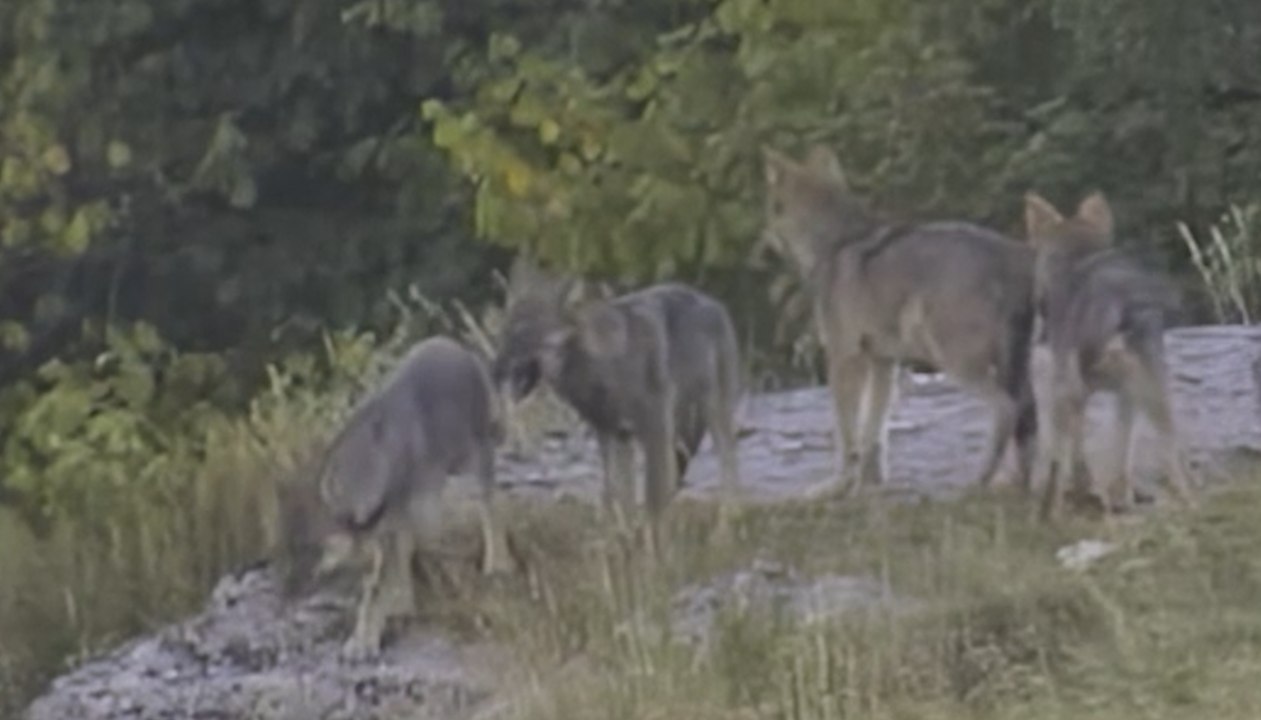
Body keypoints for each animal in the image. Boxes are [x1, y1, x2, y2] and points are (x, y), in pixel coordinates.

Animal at [309, 335, 513, 661]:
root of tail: (455, 346)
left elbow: (378, 586)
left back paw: (498, 564)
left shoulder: (394, 521)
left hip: (474, 455)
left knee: (491, 502)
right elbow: (391, 570)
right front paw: (397, 610)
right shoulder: (392, 525)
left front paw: (365, 641)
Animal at [493, 257, 744, 556]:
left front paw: (653, 554)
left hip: (712, 413)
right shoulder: (613, 434)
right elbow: (617, 495)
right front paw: (624, 542)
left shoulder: (653, 428)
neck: (605, 366)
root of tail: (713, 302)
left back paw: (724, 533)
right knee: (675, 477)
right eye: (504, 332)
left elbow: (650, 497)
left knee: (728, 468)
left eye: (523, 333)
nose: (494, 369)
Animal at [760, 145, 1038, 496]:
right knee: (1028, 420)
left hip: (955, 362)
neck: (835, 244)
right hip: (1010, 369)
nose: (761, 252)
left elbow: (846, 436)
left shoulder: (844, 359)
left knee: (1006, 409)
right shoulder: (883, 363)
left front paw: (837, 487)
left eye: (769, 210)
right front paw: (870, 486)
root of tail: (1012, 253)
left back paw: (977, 482)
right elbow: (873, 434)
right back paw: (1023, 485)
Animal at [1023, 192, 1196, 520]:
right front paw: (1114, 494)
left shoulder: (1065, 387)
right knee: (1168, 443)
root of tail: (1125, 303)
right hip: (1152, 381)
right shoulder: (1122, 393)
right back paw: (1182, 499)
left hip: (1092, 381)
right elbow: (1119, 448)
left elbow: (1067, 453)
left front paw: (1070, 497)